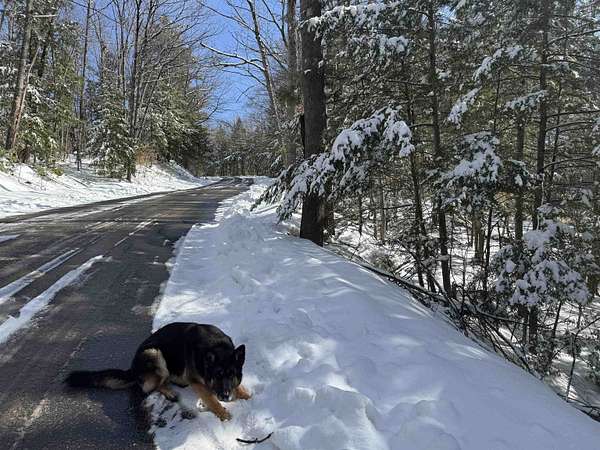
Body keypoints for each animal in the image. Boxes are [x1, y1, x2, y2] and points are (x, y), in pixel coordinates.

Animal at [65, 322, 251, 421]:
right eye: (217, 375)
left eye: (231, 375)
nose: (225, 396)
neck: (216, 346)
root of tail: (132, 368)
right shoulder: (196, 381)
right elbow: (211, 398)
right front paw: (223, 413)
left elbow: (240, 387)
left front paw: (245, 395)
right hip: (155, 354)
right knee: (151, 386)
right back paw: (170, 392)